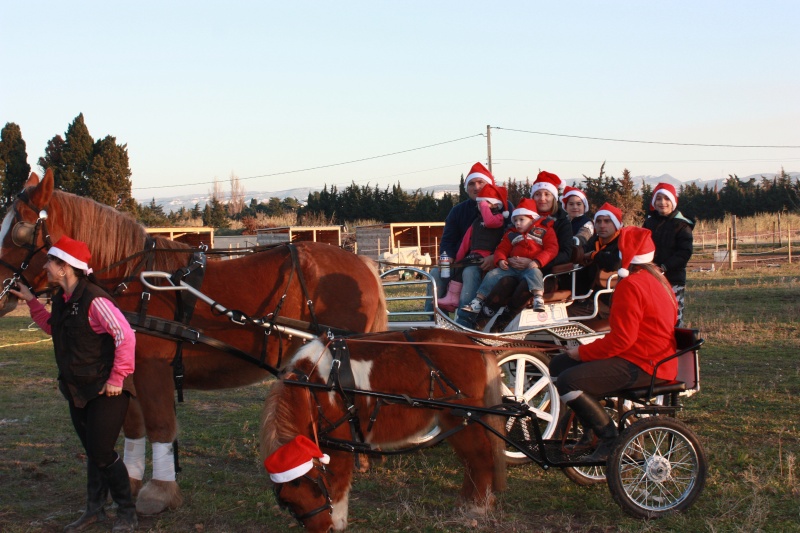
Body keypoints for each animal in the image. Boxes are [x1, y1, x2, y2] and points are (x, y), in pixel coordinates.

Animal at [0, 169, 388, 512]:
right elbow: (133, 428)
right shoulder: (125, 372)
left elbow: (160, 425)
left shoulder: (152, 369)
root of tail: (363, 264)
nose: (3, 293)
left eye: (19, 231)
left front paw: (159, 491)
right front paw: (132, 482)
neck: (132, 279)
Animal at [260, 328, 506, 532]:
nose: (322, 530)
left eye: (315, 489)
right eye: (289, 504)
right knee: (470, 460)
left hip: (463, 417)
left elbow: (338, 477)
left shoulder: (339, 439)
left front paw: (338, 519)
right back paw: (466, 502)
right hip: (454, 421)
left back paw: (478, 506)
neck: (312, 387)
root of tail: (472, 344)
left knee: (480, 457)